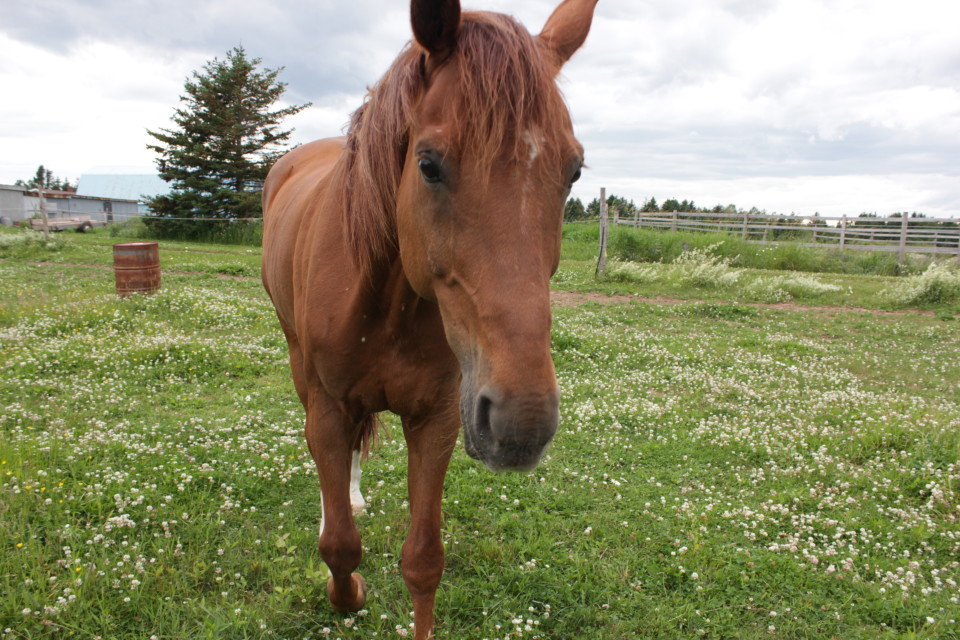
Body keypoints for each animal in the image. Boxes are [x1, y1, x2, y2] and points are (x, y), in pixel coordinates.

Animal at [258, 1, 596, 636]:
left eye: (575, 171)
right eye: (429, 165)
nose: (523, 423)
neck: (387, 303)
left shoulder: (437, 419)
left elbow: (423, 561)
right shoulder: (330, 407)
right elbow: (340, 545)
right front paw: (349, 593)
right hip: (301, 371)